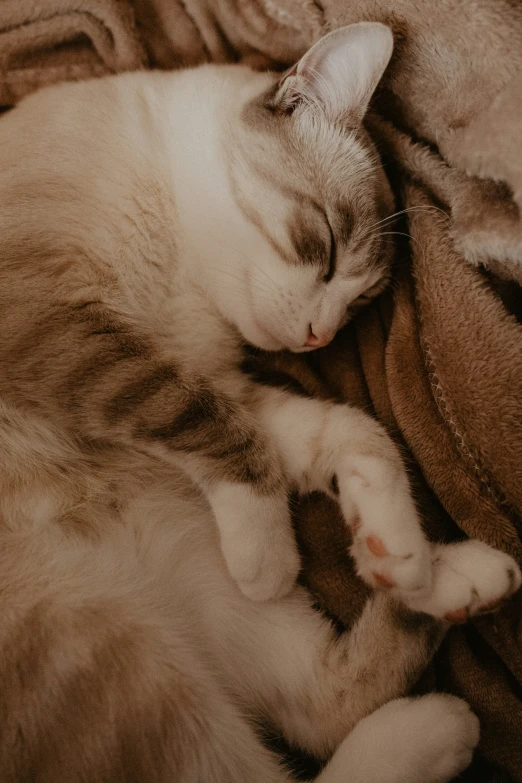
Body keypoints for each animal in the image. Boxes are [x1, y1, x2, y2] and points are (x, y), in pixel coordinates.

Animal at [0, 18, 516, 783]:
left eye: (359, 302)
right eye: (325, 250)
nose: (319, 336)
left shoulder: (218, 377)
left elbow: (355, 435)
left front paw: (393, 544)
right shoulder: (55, 324)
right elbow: (211, 427)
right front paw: (268, 553)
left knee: (323, 704)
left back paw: (454, 585)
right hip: (103, 642)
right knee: (271, 755)